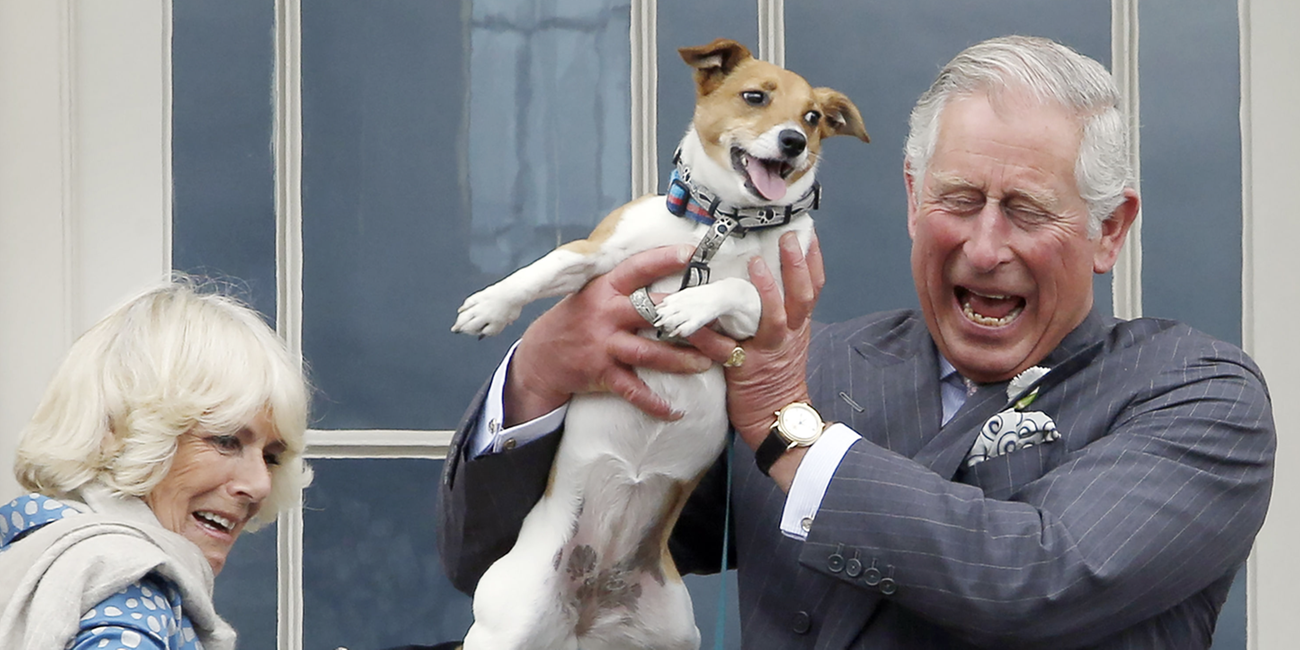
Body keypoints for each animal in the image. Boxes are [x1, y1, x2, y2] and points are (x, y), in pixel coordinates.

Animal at [452, 39, 868, 650]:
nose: (793, 141)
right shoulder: (600, 255)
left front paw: (687, 306)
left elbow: (737, 285)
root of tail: (588, 613)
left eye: (813, 117)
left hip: (673, 633)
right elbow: (547, 265)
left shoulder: (771, 310)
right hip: (505, 627)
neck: (721, 227)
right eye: (755, 97)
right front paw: (491, 305)